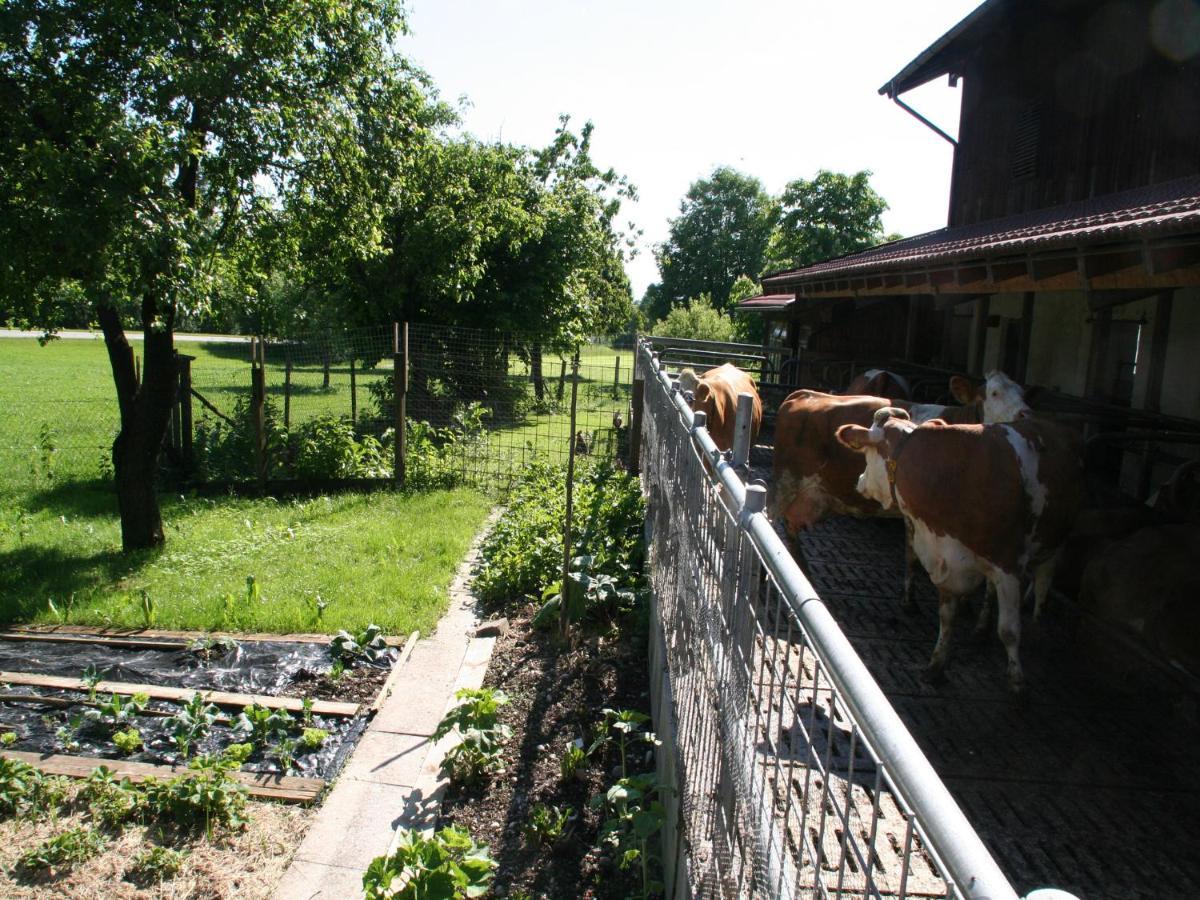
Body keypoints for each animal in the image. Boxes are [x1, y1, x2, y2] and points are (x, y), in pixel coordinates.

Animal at [835, 405, 1089, 696]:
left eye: (866, 455)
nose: (860, 481)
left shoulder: (1008, 563)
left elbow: (1009, 629)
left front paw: (1017, 680)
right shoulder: (947, 560)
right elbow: (947, 617)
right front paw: (936, 666)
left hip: (1057, 541)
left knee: (1043, 587)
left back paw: (1035, 627)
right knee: (992, 590)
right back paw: (980, 628)